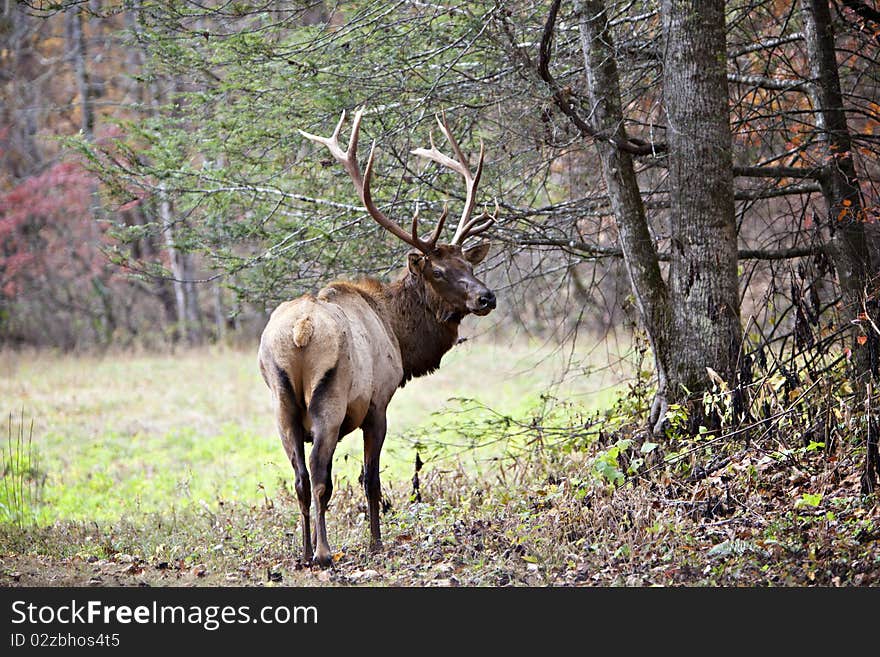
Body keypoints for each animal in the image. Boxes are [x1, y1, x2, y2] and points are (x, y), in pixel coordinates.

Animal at [258, 107, 498, 564]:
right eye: (438, 271)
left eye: (469, 264)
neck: (398, 335)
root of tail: (300, 331)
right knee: (319, 476)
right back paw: (324, 552)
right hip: (330, 399)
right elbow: (370, 478)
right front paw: (376, 542)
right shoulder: (378, 403)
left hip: (280, 404)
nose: (486, 296)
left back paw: (303, 552)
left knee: (299, 479)